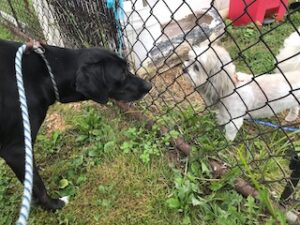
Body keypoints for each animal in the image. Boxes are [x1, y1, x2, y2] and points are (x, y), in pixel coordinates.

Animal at [0, 39, 151, 210]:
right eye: (122, 73)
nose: (149, 86)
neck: (46, 72)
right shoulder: (17, 150)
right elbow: (37, 186)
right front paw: (54, 205)